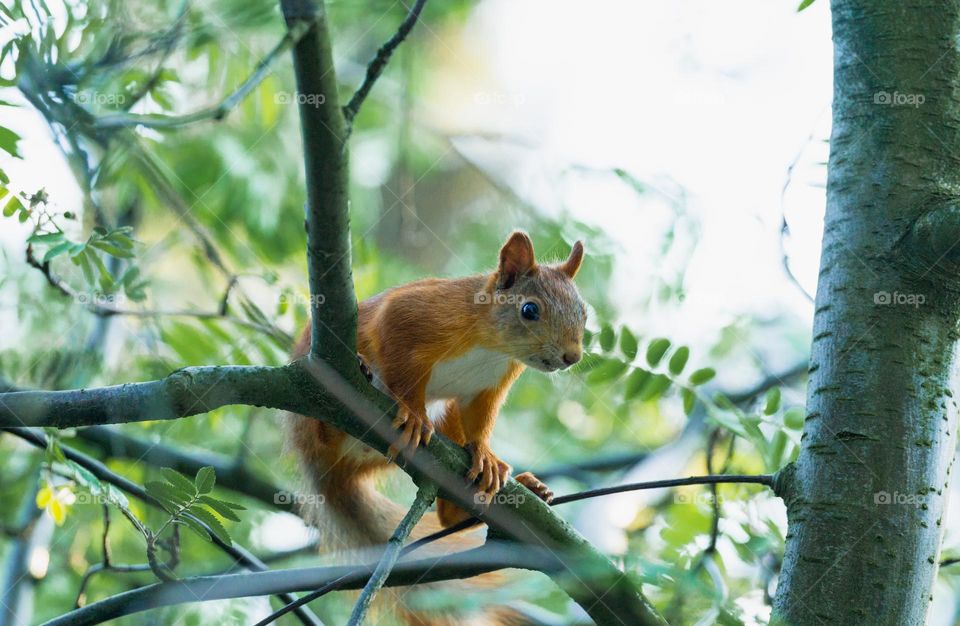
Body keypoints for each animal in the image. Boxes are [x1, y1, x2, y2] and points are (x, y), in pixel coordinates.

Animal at [284, 232, 584, 620]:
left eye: (584, 312)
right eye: (529, 310)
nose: (571, 356)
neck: (493, 346)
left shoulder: (488, 387)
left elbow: (479, 420)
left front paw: (486, 455)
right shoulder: (417, 313)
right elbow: (400, 362)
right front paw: (413, 414)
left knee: (447, 512)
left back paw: (519, 488)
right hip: (312, 407)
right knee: (323, 428)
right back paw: (350, 388)